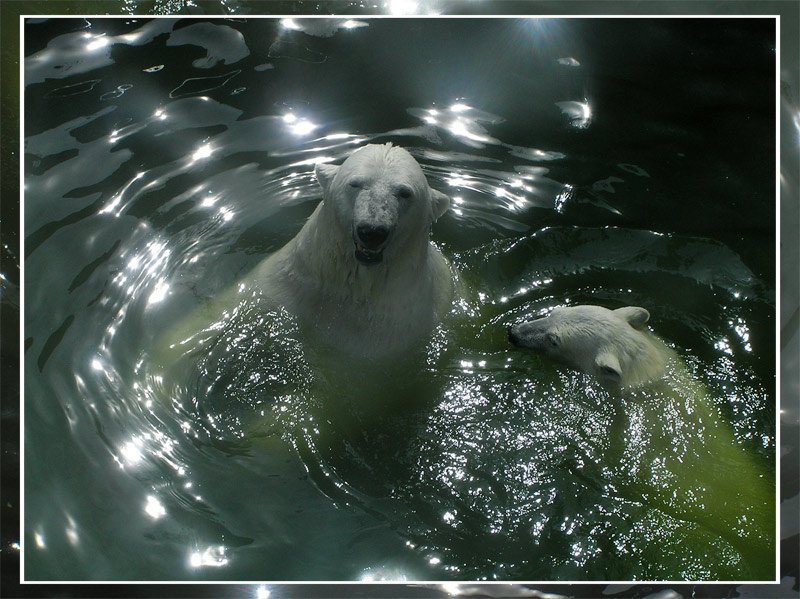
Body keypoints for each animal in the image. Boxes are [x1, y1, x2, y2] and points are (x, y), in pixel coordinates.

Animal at [154, 143, 454, 363]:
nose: (372, 230)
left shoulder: (393, 331)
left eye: (404, 193)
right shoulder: (287, 279)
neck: (353, 287)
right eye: (356, 183)